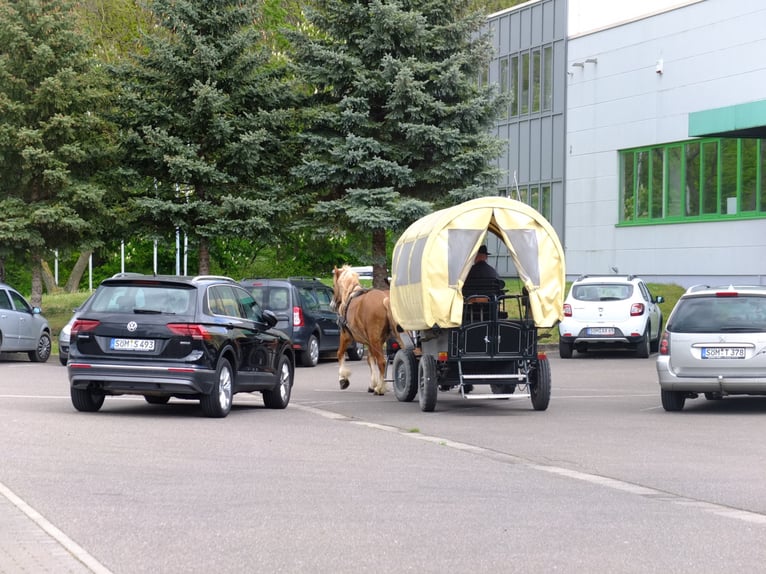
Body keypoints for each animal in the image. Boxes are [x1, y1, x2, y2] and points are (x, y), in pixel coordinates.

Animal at [330, 266, 402, 396]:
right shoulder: (371, 342)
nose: (331, 304)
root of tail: (385, 299)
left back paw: (380, 389)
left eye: (334, 285)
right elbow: (370, 359)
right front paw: (373, 384)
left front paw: (343, 379)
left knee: (382, 362)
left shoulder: (346, 336)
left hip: (374, 339)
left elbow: (340, 353)